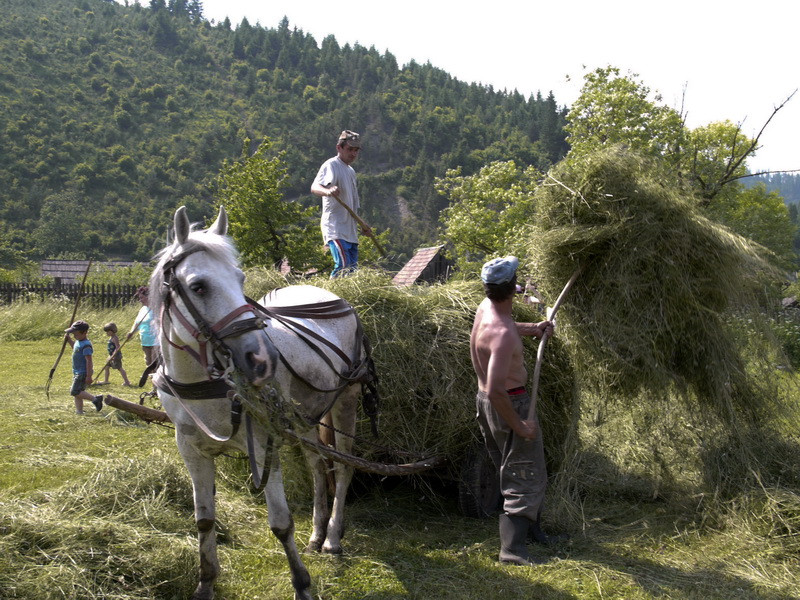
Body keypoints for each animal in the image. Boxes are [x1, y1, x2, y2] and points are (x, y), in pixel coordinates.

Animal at [152, 206, 374, 600]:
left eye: (240, 279)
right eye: (198, 286)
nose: (262, 360)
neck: (208, 382)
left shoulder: (264, 442)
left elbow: (281, 523)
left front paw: (302, 585)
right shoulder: (191, 449)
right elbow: (204, 519)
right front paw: (205, 583)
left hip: (345, 402)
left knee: (343, 466)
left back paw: (332, 537)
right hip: (306, 417)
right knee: (318, 466)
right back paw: (317, 533)